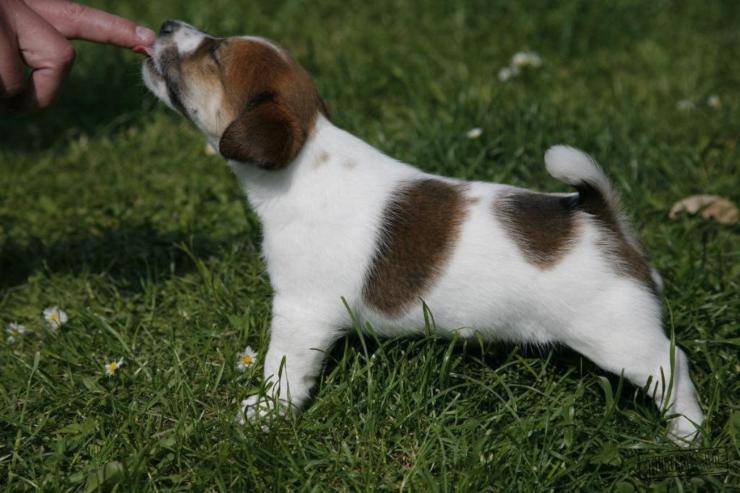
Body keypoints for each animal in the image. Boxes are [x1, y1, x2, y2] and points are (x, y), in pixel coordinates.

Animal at [142, 20, 704, 442]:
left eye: (214, 53)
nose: (165, 24)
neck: (303, 164)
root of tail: (601, 218)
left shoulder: (301, 312)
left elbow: (283, 368)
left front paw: (266, 412)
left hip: (618, 336)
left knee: (672, 366)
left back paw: (685, 434)